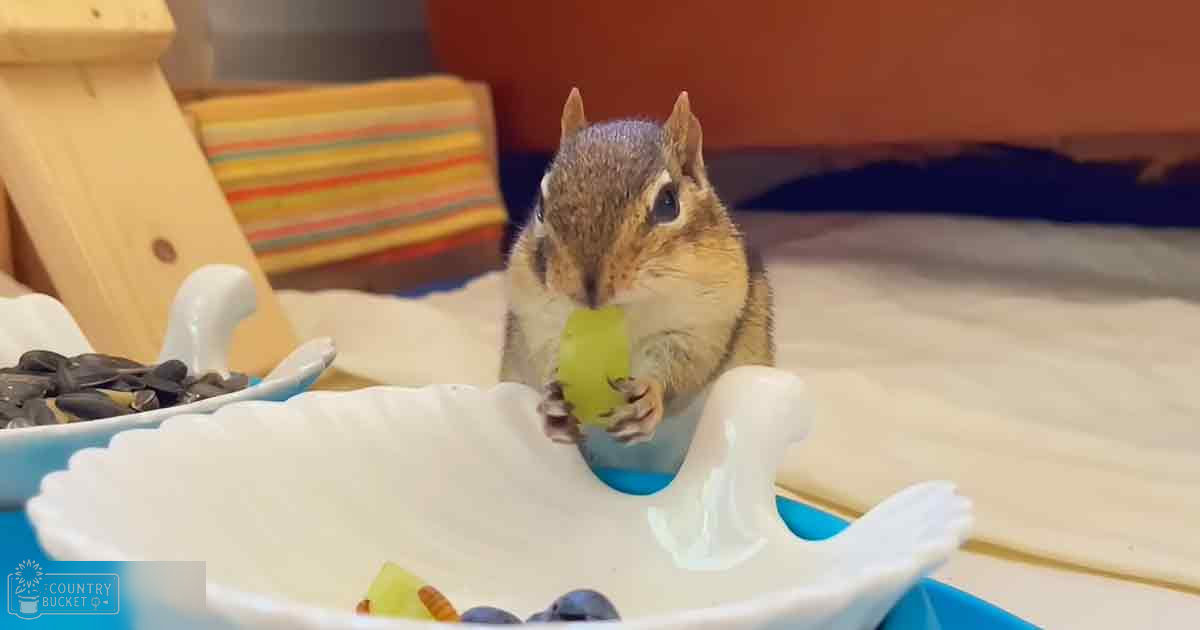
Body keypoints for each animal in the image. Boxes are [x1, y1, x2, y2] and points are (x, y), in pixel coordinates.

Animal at [500, 88, 775, 446]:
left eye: (668, 202)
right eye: (541, 206)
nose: (588, 290)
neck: (622, 315)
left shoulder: (703, 325)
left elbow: (680, 366)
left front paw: (649, 397)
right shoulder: (535, 319)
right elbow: (544, 355)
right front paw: (552, 401)